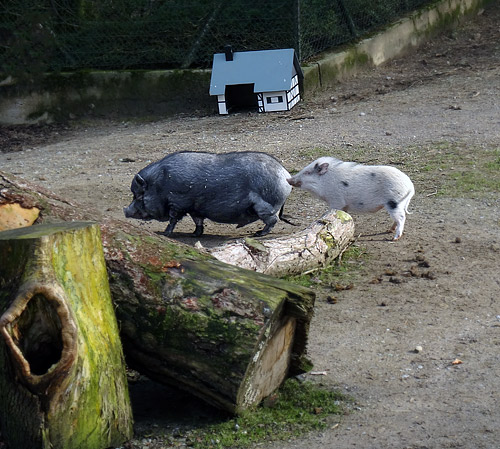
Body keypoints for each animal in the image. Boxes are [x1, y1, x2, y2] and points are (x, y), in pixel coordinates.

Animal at [122, 150, 292, 236]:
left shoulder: (177, 203)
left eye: (139, 195)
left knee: (273, 220)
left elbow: (173, 220)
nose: (125, 211)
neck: (160, 185)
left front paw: (165, 234)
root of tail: (285, 175)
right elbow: (198, 221)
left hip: (265, 207)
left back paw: (258, 234)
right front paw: (194, 234)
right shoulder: (194, 207)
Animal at [288, 158, 416, 242]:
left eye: (307, 172)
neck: (325, 182)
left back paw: (394, 238)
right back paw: (389, 230)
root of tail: (410, 186)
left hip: (394, 202)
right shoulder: (343, 205)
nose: (288, 179)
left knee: (401, 217)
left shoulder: (336, 200)